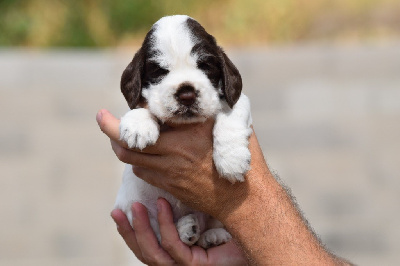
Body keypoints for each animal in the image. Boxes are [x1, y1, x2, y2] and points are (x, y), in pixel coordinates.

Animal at [114, 15, 252, 248]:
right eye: (159, 71)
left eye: (205, 66)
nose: (186, 94)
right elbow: (141, 107)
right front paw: (139, 125)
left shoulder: (237, 100)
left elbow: (230, 116)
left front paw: (232, 160)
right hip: (134, 205)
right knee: (162, 236)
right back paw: (187, 228)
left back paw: (210, 235)